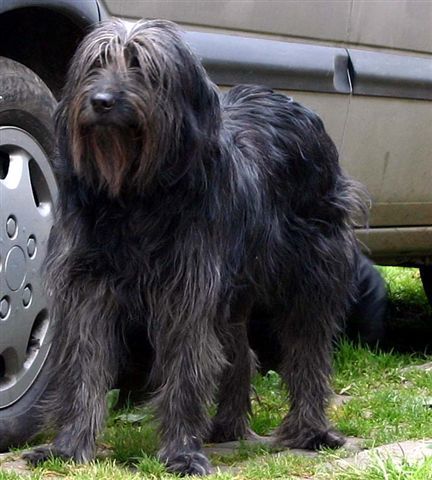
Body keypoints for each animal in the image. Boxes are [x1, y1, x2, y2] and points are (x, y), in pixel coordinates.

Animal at [24, 19, 364, 476]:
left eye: (142, 66)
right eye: (96, 64)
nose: (101, 101)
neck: (135, 195)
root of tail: (289, 102)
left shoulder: (187, 292)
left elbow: (186, 372)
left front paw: (181, 452)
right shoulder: (89, 287)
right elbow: (84, 368)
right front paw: (67, 447)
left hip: (312, 275)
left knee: (307, 353)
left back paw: (311, 431)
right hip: (234, 291)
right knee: (241, 354)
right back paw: (227, 426)